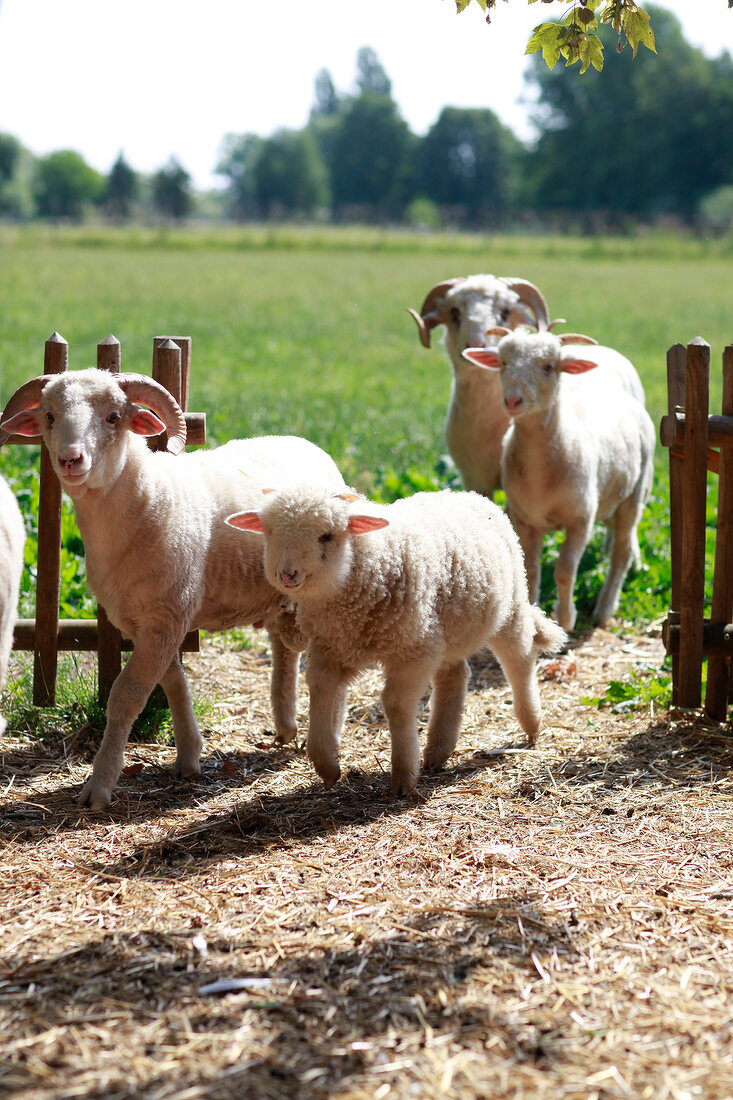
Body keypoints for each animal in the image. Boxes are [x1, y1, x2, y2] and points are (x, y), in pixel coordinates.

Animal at [0, 369, 345, 809]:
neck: (147, 496)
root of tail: (308, 444)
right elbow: (174, 682)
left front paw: (99, 785)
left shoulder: (166, 616)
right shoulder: (145, 619)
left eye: (114, 417)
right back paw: (285, 726)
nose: (70, 459)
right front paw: (189, 756)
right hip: (277, 594)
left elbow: (127, 696)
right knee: (285, 648)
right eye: (49, 415)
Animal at [226, 486, 563, 796]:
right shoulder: (330, 647)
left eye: (326, 536)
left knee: (519, 657)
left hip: (508, 607)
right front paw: (327, 766)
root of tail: (464, 493)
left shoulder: (413, 649)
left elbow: (396, 704)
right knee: (455, 676)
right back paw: (438, 751)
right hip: (445, 630)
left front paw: (403, 776)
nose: (287, 574)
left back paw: (531, 723)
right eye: (269, 532)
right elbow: (319, 690)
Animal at [460, 325, 651, 633]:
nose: (512, 400)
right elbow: (531, 570)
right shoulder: (524, 519)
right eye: (503, 363)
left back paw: (605, 608)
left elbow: (564, 571)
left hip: (634, 497)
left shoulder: (580, 520)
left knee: (620, 554)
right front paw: (536, 614)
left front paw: (566, 618)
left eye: (549, 366)